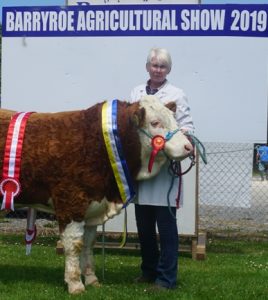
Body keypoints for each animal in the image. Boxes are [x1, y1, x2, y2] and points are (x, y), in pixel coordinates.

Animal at [0, 95, 193, 294]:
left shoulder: (92, 209)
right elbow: (74, 245)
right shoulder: (71, 201)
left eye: (175, 118)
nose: (188, 146)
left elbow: (88, 243)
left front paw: (91, 279)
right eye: (155, 122)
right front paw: (75, 284)